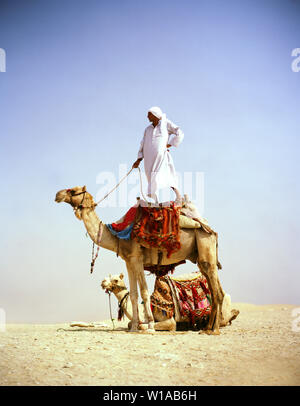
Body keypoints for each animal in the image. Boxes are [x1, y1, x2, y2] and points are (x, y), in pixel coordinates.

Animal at [101, 272, 239, 332]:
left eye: (115, 280)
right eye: (107, 277)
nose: (102, 282)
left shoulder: (168, 319)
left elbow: (146, 325)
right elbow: (131, 324)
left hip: (222, 309)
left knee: (227, 315)